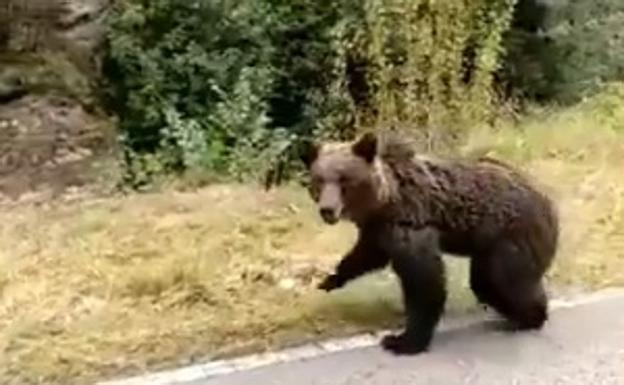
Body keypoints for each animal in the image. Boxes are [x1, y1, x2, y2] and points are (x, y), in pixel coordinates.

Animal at [302, 131, 560, 354]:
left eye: (344, 179)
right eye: (319, 180)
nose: (327, 210)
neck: (384, 201)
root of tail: (549, 203)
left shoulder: (410, 222)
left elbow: (423, 281)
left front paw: (401, 341)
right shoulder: (378, 229)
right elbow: (366, 255)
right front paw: (329, 280)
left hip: (510, 237)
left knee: (505, 279)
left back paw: (527, 318)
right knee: (485, 283)